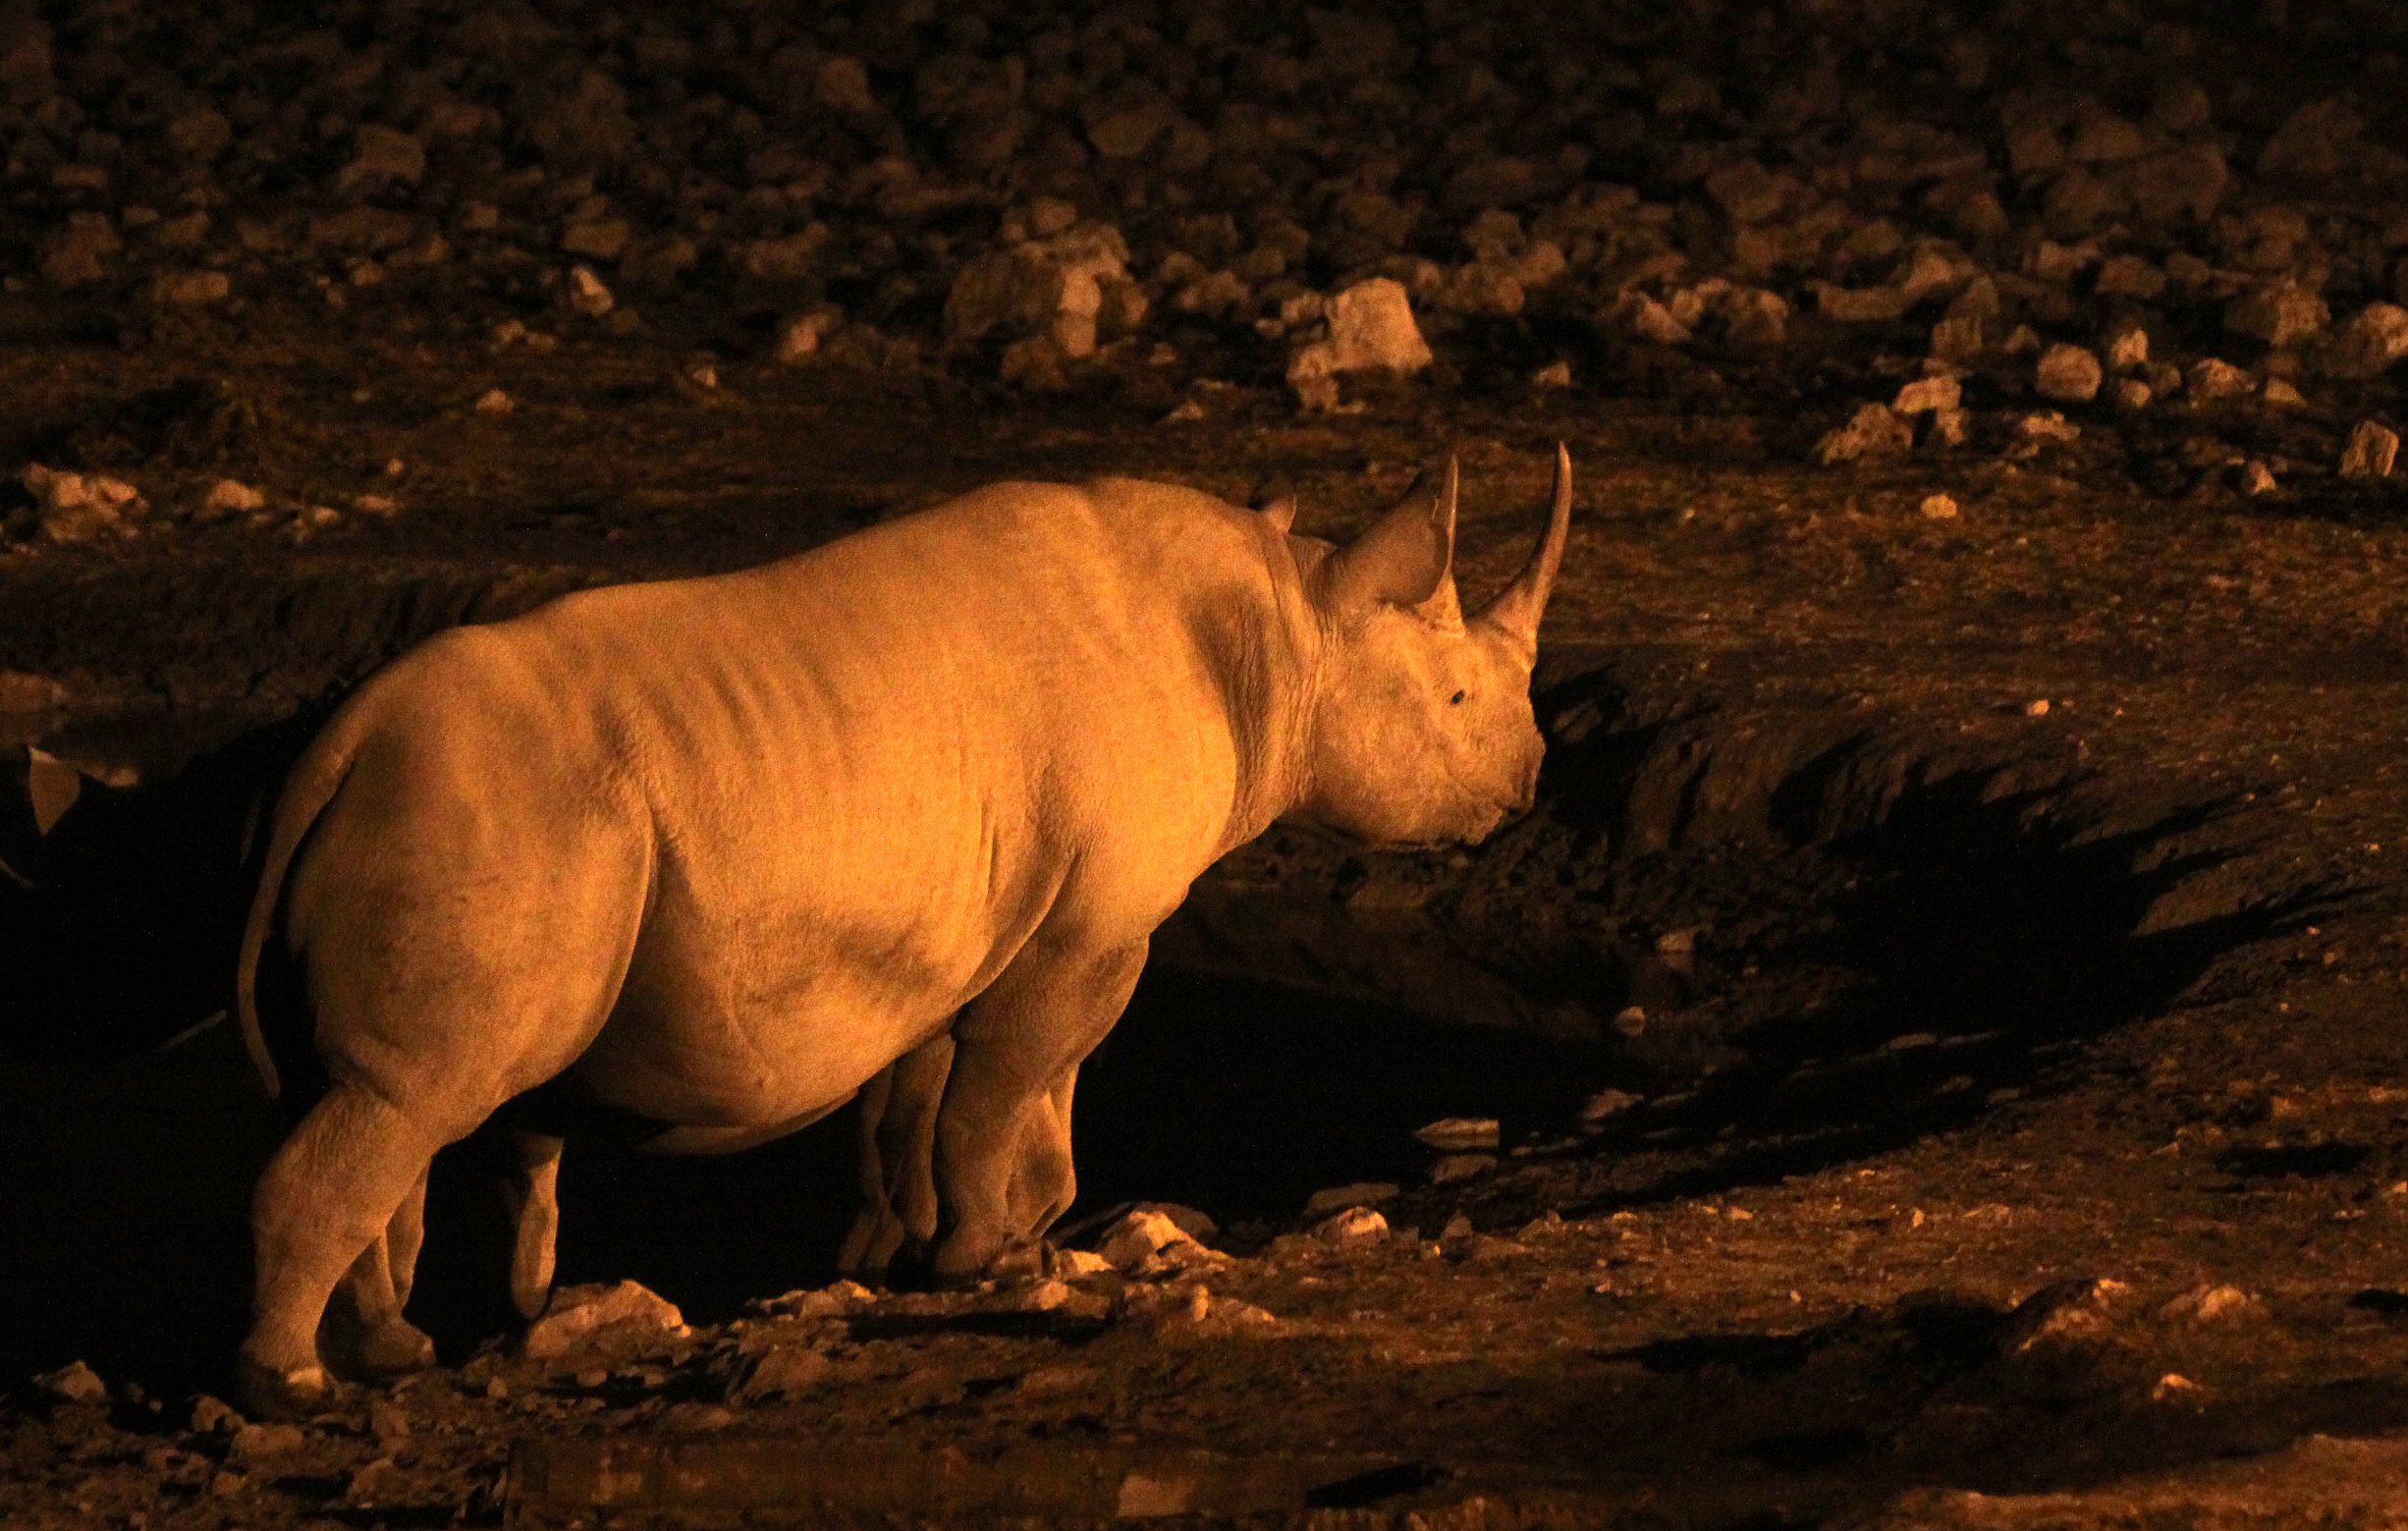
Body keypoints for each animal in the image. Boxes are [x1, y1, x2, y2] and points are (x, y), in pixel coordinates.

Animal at [231, 448, 1573, 1414]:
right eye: (1459, 697)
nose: (1528, 784)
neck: (1286, 627)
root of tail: (337, 751)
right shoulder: (1091, 918)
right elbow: (1016, 1078)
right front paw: (994, 1258)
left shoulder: (969, 922)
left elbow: (929, 1103)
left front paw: (943, 1250)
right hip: (505, 817)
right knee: (414, 1096)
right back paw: (291, 1387)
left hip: (455, 813)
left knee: (385, 1103)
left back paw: (390, 1351)